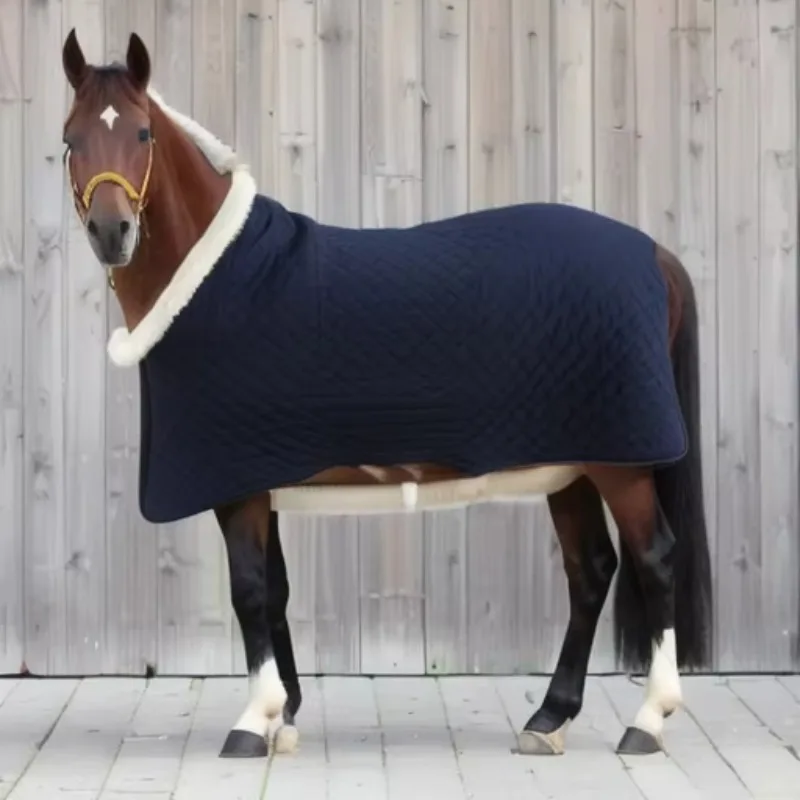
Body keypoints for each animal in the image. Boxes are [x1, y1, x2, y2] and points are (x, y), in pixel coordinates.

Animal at [60, 29, 713, 760]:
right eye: (71, 138)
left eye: (142, 132)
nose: (113, 232)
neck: (219, 278)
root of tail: (653, 253)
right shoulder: (263, 475)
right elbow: (277, 590)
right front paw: (285, 716)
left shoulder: (238, 485)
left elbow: (250, 590)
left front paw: (254, 721)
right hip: (569, 465)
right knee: (591, 570)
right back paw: (549, 718)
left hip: (619, 466)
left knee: (653, 560)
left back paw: (647, 719)